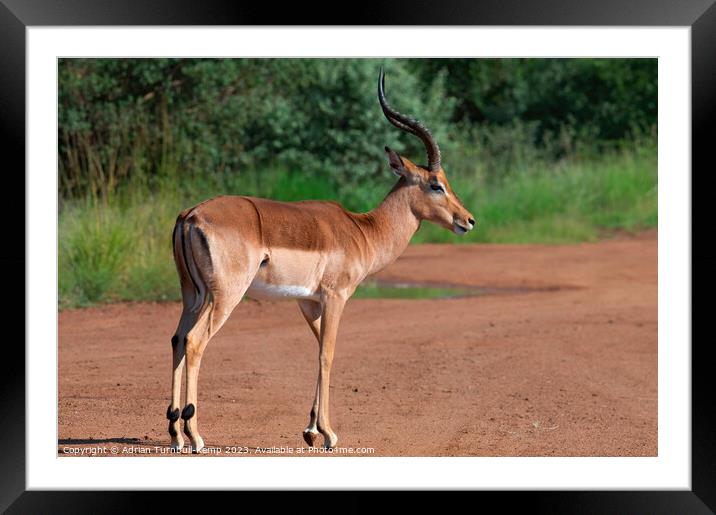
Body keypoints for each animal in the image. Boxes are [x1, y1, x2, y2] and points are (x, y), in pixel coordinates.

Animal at [165, 68, 472, 452]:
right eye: (435, 184)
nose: (468, 220)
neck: (363, 230)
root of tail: (190, 216)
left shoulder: (308, 302)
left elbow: (316, 350)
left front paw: (311, 430)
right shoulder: (335, 296)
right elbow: (328, 354)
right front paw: (328, 434)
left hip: (192, 296)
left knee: (177, 339)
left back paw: (175, 433)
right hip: (224, 297)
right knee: (194, 342)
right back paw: (195, 436)